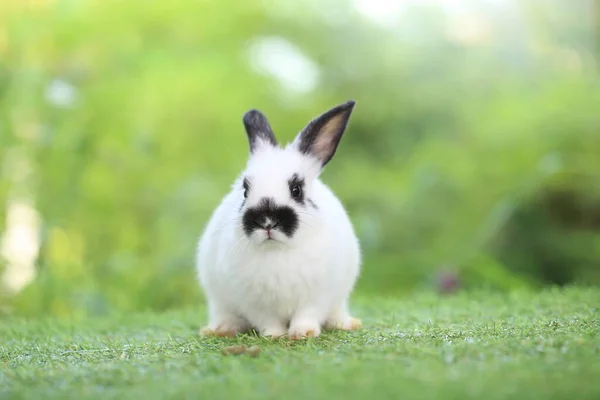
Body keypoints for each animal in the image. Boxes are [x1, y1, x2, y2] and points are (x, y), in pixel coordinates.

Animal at [197, 101, 360, 340]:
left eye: (297, 190)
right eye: (245, 190)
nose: (266, 221)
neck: (277, 251)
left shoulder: (317, 296)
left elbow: (307, 314)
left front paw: (303, 333)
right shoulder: (253, 302)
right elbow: (267, 320)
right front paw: (274, 335)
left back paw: (346, 324)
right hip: (220, 301)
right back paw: (220, 329)